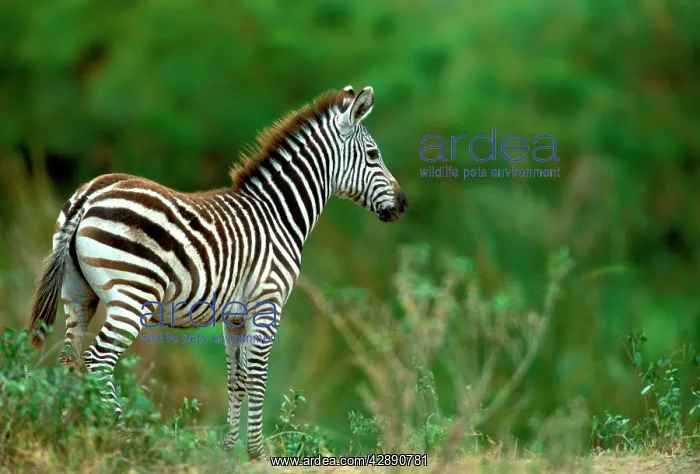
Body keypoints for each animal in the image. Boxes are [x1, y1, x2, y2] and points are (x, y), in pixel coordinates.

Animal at [27, 85, 407, 460]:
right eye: (373, 154)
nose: (403, 204)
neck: (278, 215)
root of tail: (90, 195)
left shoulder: (234, 316)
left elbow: (236, 379)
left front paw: (228, 451)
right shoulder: (267, 304)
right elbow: (257, 377)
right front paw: (257, 453)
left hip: (77, 294)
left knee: (70, 359)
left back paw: (71, 434)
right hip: (131, 296)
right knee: (97, 360)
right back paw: (121, 438)